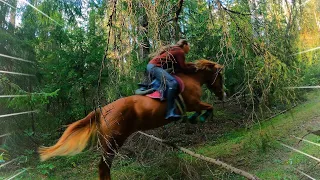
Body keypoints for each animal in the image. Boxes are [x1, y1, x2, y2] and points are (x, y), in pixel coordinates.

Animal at [38, 58, 225, 179]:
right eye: (220, 76)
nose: (223, 94)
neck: (191, 78)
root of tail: (102, 110)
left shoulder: (194, 104)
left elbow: (205, 108)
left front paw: (194, 118)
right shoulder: (194, 103)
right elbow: (209, 107)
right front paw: (198, 118)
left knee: (103, 167)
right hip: (113, 141)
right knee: (104, 167)